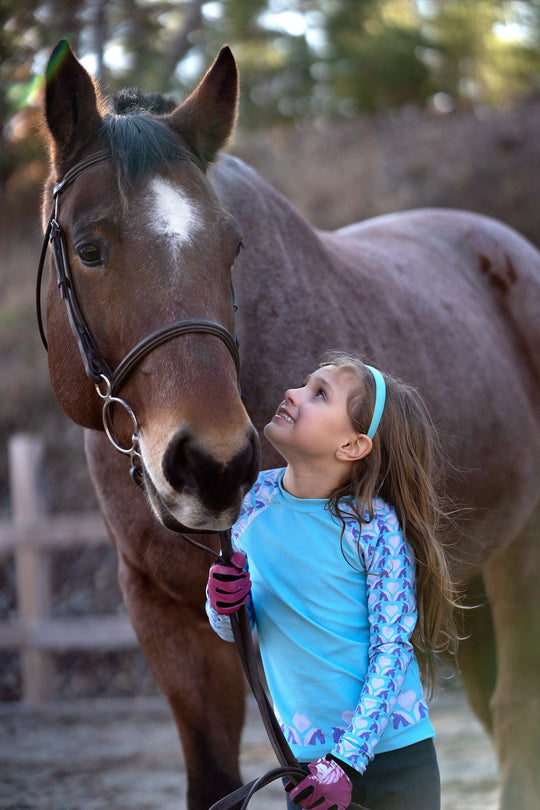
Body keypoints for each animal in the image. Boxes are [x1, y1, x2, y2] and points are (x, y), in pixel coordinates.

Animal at [39, 40, 540, 810]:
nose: (212, 467)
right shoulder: (164, 614)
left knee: (516, 716)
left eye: (232, 248)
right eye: (89, 249)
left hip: (521, 551)